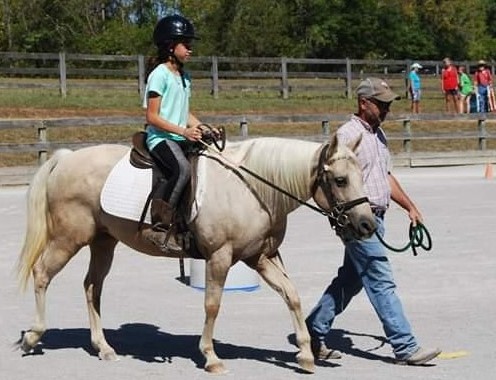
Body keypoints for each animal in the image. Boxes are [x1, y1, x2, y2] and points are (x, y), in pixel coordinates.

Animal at [16, 134, 376, 374]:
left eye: (362, 175)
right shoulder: (220, 256)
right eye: (340, 180)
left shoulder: (262, 257)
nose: (367, 224)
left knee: (92, 287)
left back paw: (103, 348)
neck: (253, 189)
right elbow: (212, 305)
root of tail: (66, 158)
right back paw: (33, 337)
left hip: (103, 241)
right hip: (68, 238)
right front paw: (211, 357)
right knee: (43, 274)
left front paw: (305, 355)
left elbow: (293, 296)